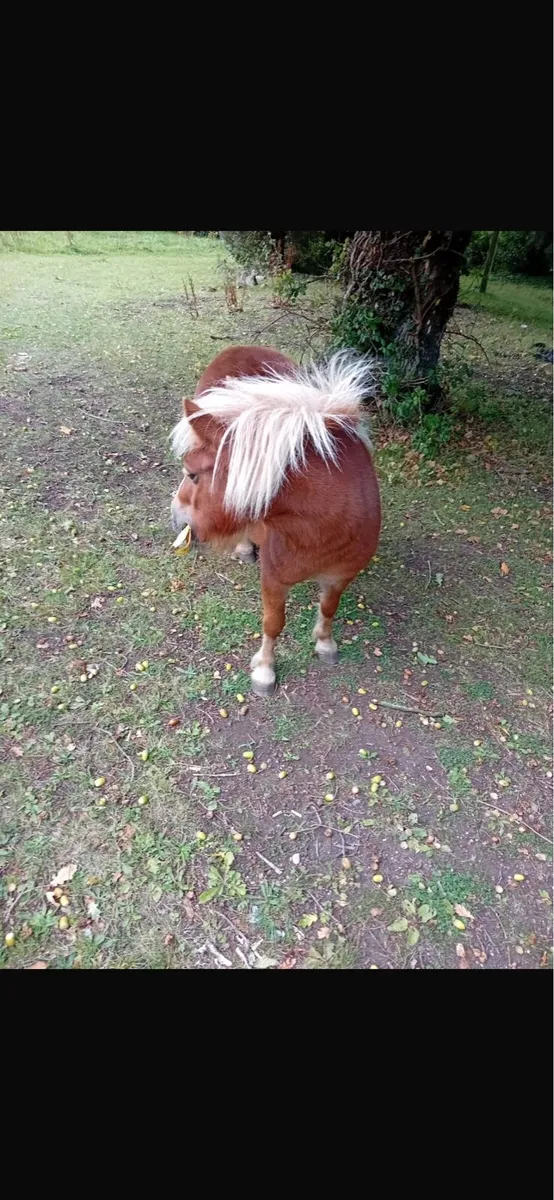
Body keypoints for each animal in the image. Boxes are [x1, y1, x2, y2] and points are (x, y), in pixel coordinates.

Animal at [170, 345, 381, 697]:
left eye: (192, 475)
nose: (175, 516)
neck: (322, 528)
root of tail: (235, 348)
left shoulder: (341, 575)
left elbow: (329, 608)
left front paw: (325, 644)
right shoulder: (273, 579)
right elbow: (273, 623)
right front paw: (265, 670)